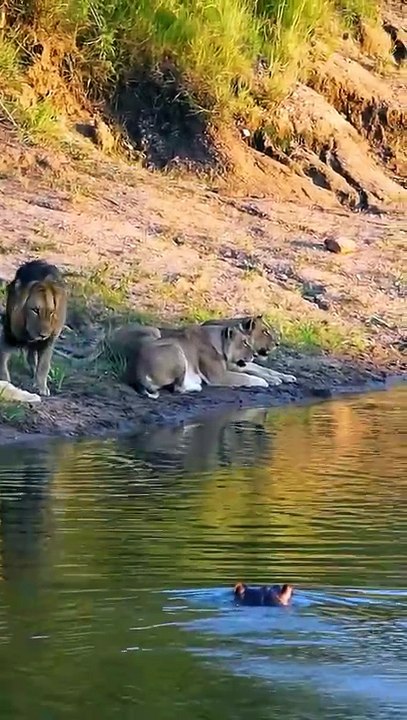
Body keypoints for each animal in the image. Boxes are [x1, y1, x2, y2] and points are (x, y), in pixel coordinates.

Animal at [0, 259, 67, 396]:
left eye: (51, 312)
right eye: (35, 310)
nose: (43, 335)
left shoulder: (48, 342)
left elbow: (43, 366)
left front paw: (41, 387)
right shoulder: (9, 333)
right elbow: (2, 357)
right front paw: (4, 380)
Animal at [125, 324, 264, 399]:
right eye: (244, 343)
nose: (255, 354)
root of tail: (138, 373)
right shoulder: (218, 376)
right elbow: (246, 377)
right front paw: (263, 382)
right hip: (176, 349)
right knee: (179, 388)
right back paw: (196, 385)